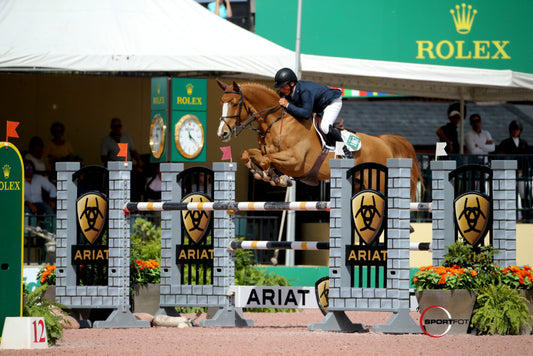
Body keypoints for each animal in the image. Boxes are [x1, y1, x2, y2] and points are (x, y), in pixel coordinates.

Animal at [216, 80, 424, 200]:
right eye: (221, 103)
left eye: (235, 103)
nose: (222, 134)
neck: (277, 123)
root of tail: (383, 142)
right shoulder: (266, 152)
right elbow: (247, 154)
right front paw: (264, 174)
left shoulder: (296, 161)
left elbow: (268, 160)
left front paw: (275, 177)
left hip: (378, 181)